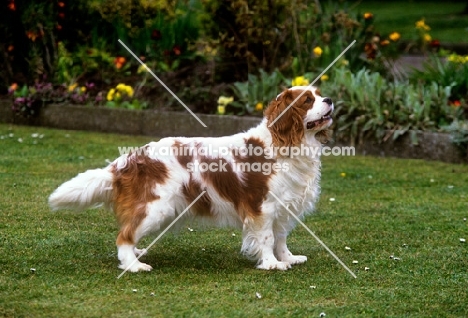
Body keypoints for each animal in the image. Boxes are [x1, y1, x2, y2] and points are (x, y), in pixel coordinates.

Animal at [49, 85, 332, 272]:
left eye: (319, 94)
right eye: (308, 100)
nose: (329, 99)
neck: (286, 143)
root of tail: (127, 160)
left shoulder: (284, 207)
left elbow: (281, 238)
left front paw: (287, 258)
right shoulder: (262, 206)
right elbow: (266, 238)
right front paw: (272, 264)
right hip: (156, 208)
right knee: (123, 236)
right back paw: (134, 265)